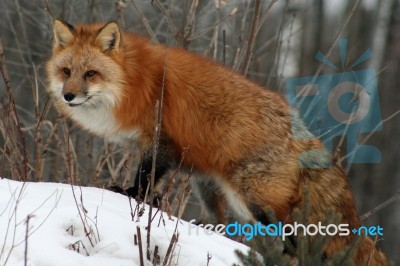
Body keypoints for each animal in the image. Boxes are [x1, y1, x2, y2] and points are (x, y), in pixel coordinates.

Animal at [45, 19, 386, 264]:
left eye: (91, 73)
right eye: (66, 71)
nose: (68, 95)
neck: (136, 83)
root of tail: (302, 130)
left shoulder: (161, 141)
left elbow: (145, 177)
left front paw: (129, 195)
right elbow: (152, 185)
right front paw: (148, 203)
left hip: (256, 200)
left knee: (292, 242)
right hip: (211, 188)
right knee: (224, 225)